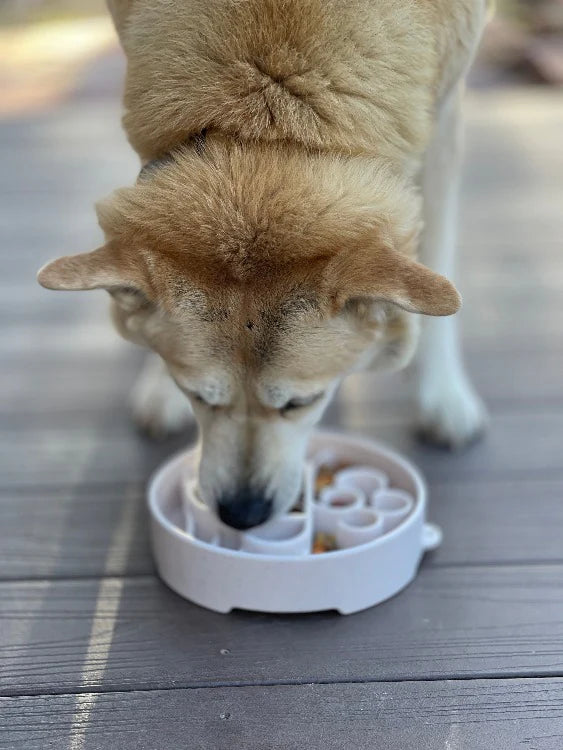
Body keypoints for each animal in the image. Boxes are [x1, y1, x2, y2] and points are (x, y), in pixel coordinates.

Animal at [37, 0, 492, 532]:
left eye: (301, 404)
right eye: (197, 395)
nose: (242, 513)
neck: (272, 119)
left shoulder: (444, 112)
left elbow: (435, 255)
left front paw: (443, 396)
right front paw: (159, 385)